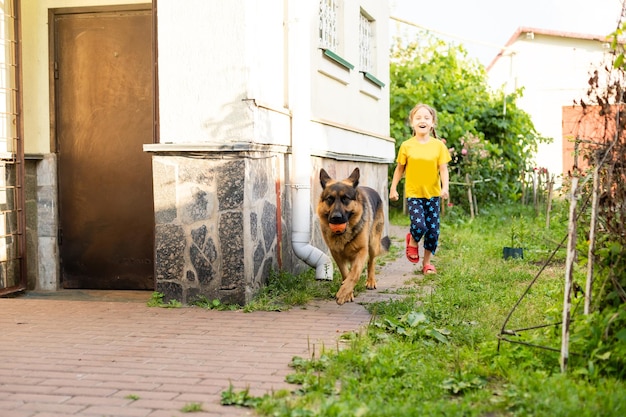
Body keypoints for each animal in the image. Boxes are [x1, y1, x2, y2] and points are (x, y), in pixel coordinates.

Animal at [316, 167, 390, 304]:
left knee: (371, 262)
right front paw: (348, 293)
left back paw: (371, 281)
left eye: (346, 198)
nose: (336, 218)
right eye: (330, 199)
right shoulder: (336, 254)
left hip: (372, 244)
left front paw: (343, 292)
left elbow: (354, 274)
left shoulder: (362, 251)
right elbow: (346, 273)